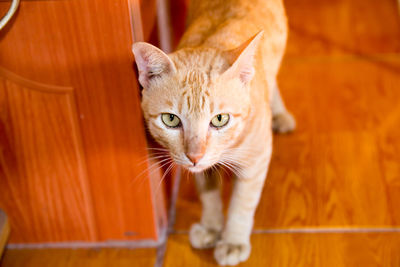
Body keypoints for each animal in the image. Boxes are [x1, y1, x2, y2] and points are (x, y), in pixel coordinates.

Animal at [133, 0, 296, 264]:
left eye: (220, 119)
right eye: (171, 119)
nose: (194, 155)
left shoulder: (257, 158)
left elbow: (242, 203)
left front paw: (233, 241)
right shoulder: (199, 167)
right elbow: (208, 192)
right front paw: (211, 225)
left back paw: (279, 113)